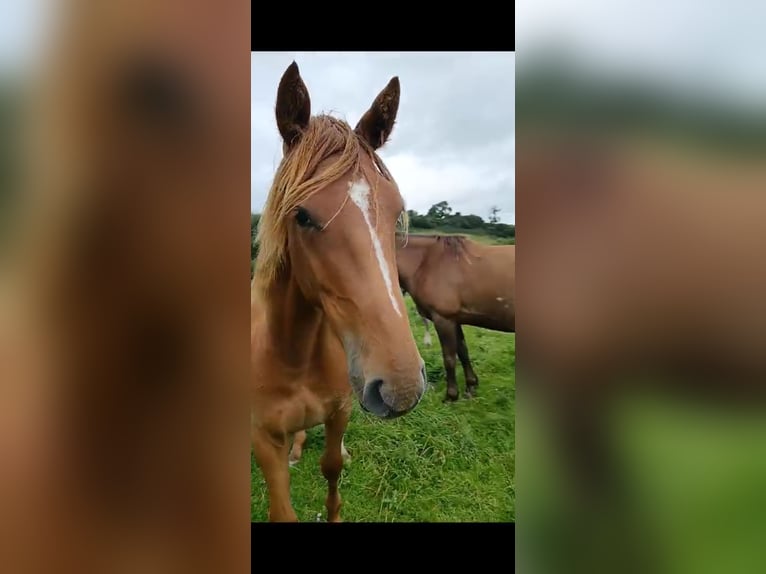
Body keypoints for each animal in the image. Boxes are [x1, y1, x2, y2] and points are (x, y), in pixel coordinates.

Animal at [251, 62, 427, 523]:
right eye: (301, 215)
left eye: (397, 213)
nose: (402, 385)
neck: (292, 356)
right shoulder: (263, 440)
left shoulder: (341, 411)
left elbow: (331, 469)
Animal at [396, 233, 515, 402]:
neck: (425, 262)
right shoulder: (455, 320)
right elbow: (463, 352)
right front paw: (471, 386)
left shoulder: (443, 319)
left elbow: (450, 358)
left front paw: (451, 396)